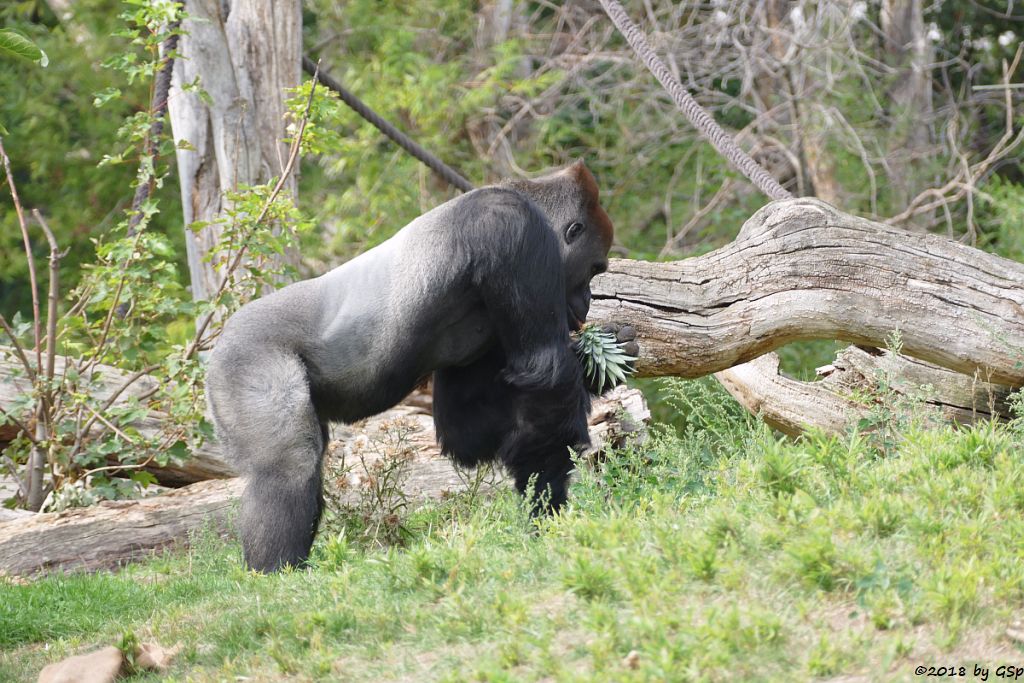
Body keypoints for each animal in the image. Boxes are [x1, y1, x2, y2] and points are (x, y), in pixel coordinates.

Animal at [205, 161, 614, 573]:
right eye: (594, 269)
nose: (587, 300)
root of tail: (219, 341)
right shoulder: (514, 228)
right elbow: (546, 373)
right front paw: (547, 507)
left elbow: (469, 432)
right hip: (245, 359)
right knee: (287, 466)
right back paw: (275, 572)